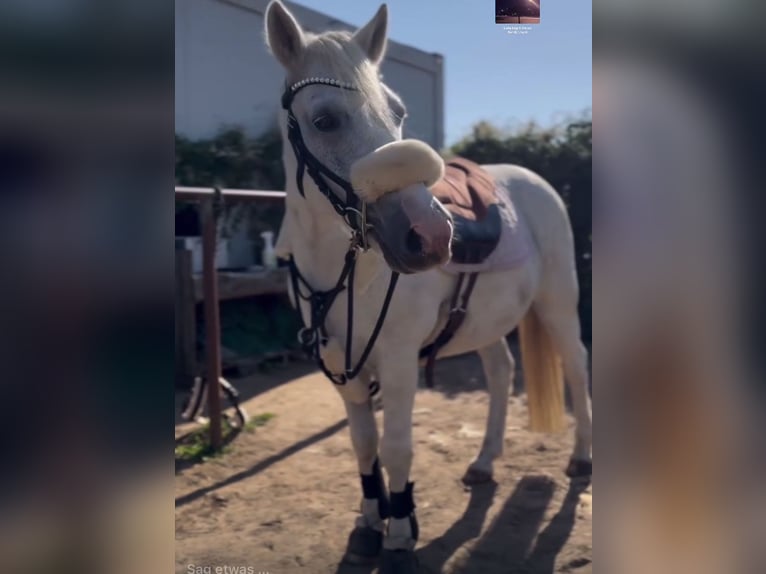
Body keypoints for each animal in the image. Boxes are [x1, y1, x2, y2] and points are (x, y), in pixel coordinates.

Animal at [264, 2, 592, 571]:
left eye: (397, 113)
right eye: (324, 119)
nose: (433, 235)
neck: (346, 271)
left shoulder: (397, 363)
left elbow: (397, 448)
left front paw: (399, 531)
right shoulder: (343, 367)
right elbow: (364, 445)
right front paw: (370, 521)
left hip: (559, 307)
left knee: (577, 364)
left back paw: (581, 459)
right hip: (489, 323)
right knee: (502, 373)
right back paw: (484, 462)